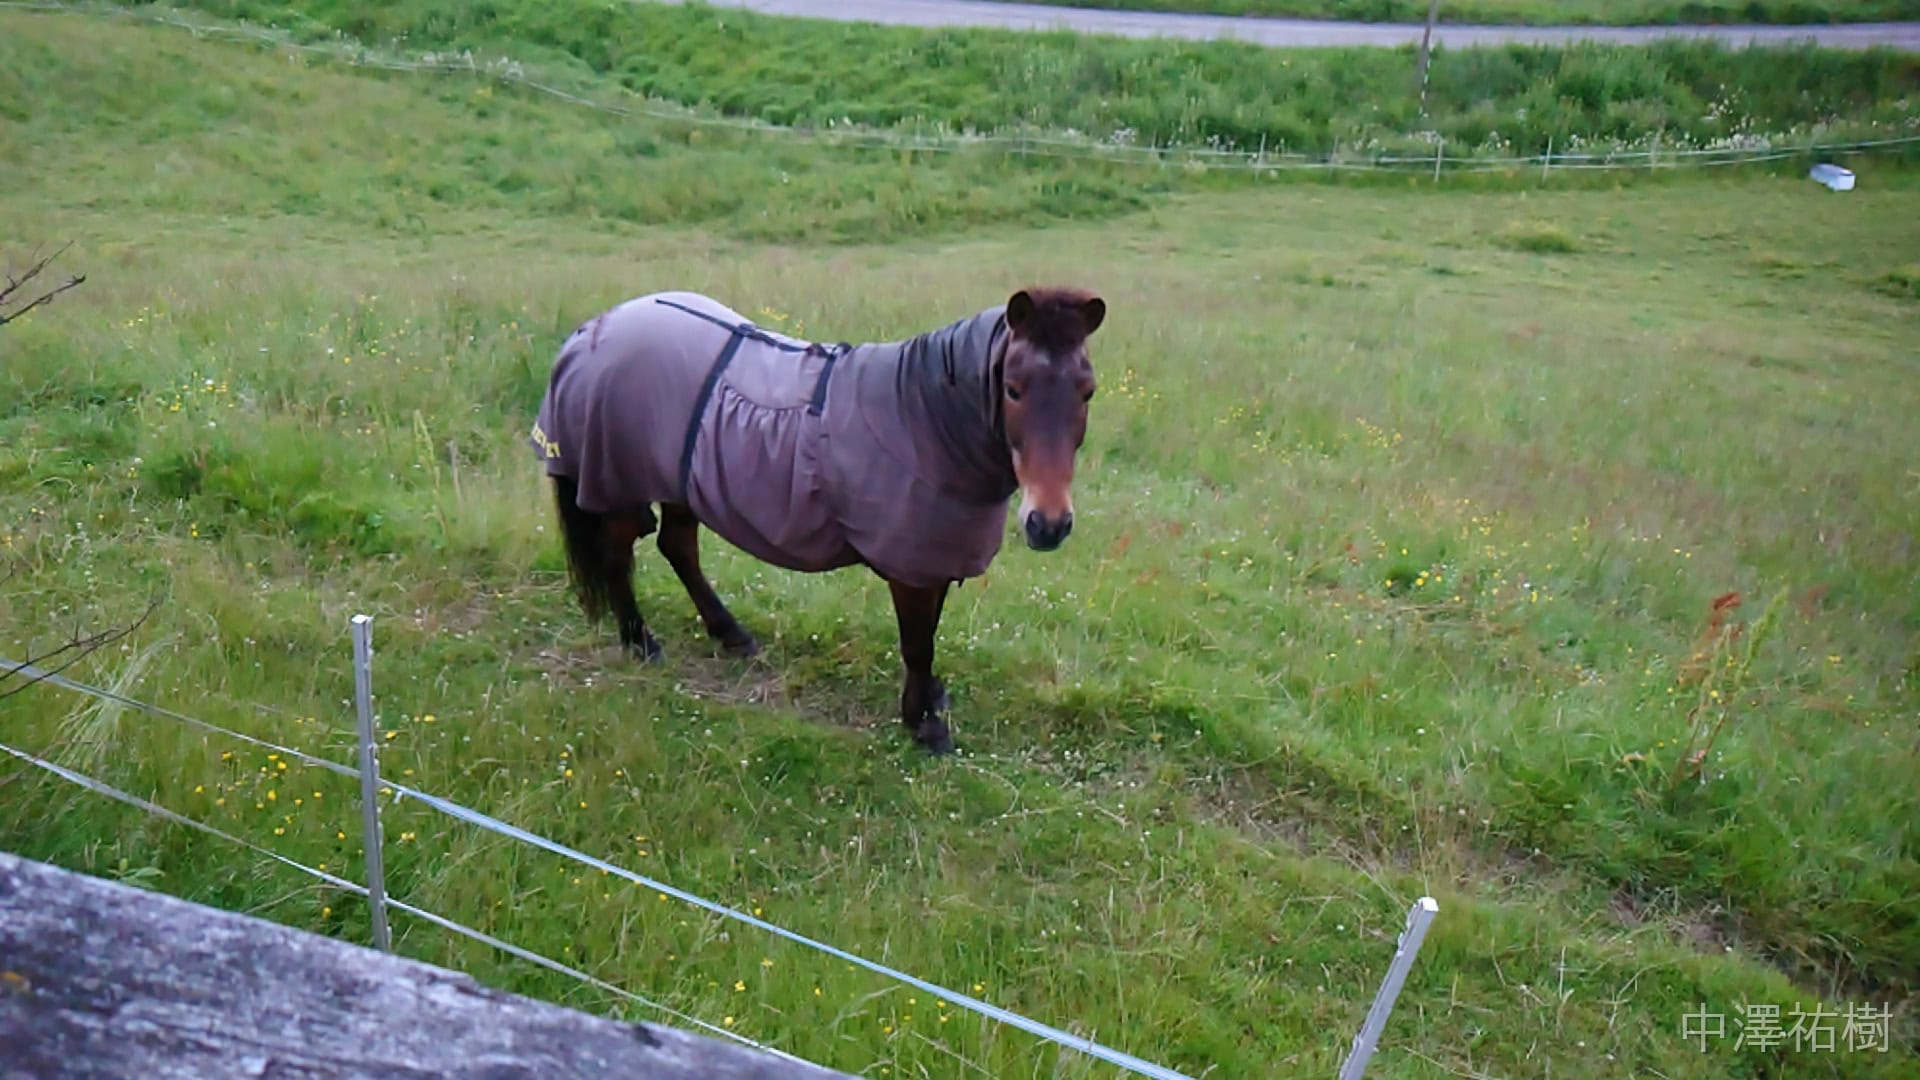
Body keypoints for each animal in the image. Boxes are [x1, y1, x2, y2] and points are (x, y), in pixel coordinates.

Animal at [528, 285, 1105, 755]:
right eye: (1013, 388)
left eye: (1087, 392)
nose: (1049, 523)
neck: (925, 419)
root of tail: (595, 328)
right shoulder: (910, 567)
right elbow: (918, 644)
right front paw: (923, 725)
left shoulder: (931, 557)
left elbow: (928, 637)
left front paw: (929, 702)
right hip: (618, 479)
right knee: (618, 553)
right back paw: (639, 641)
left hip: (682, 480)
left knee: (677, 547)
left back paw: (729, 633)